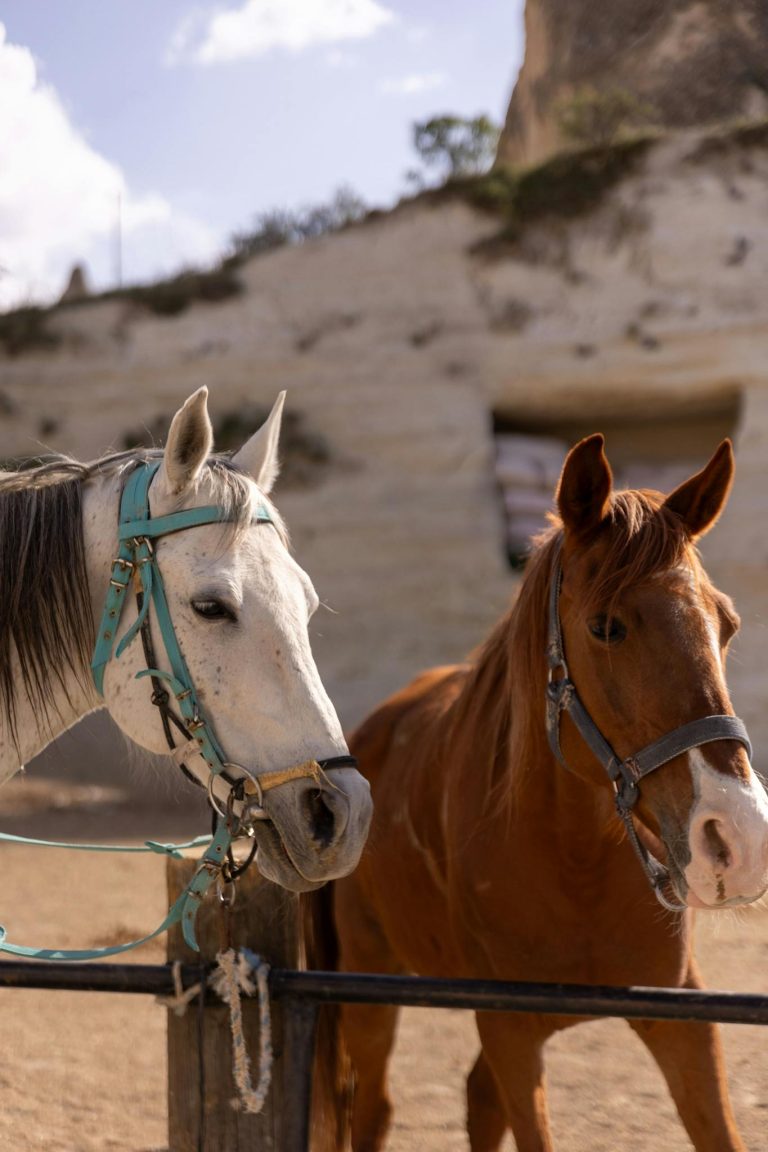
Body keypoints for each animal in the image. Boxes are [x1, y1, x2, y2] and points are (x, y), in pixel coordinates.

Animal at [311, 434, 768, 1152]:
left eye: (726, 625)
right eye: (606, 627)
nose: (738, 838)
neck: (572, 861)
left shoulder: (681, 1022)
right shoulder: (510, 1029)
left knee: (474, 1099)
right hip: (367, 987)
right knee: (374, 1110)